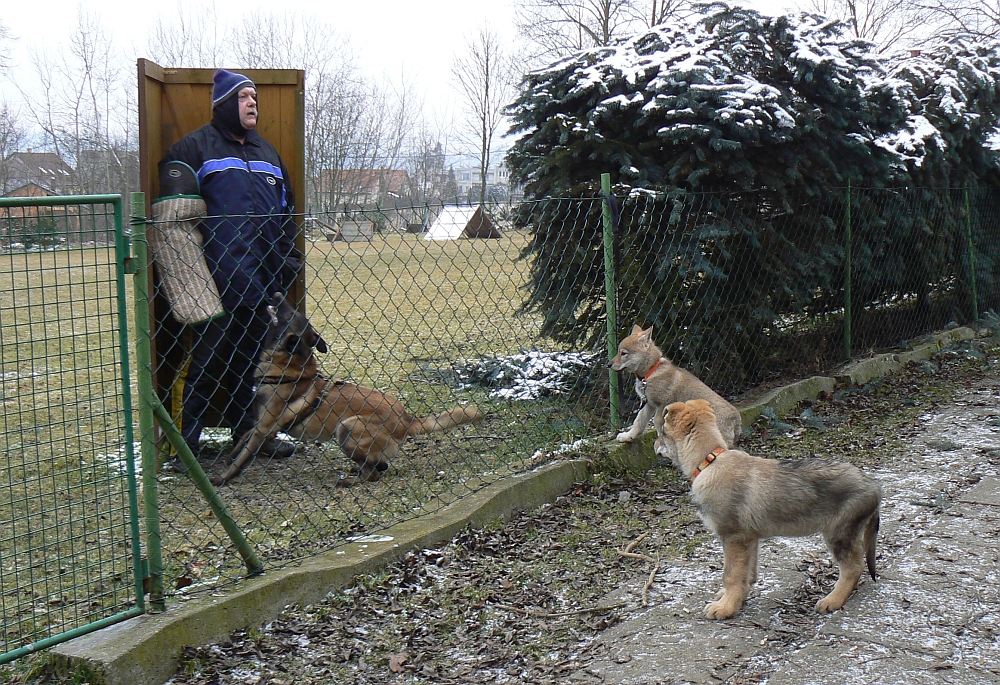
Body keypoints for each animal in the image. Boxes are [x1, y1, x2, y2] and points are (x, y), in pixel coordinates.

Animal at [213, 296, 486, 486]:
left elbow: (243, 456)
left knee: (374, 473)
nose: (278, 293)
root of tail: (405, 419)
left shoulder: (266, 428)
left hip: (346, 428)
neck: (288, 368)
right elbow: (244, 437)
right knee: (378, 466)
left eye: (289, 312)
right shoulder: (262, 426)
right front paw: (228, 456)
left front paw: (222, 478)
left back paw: (351, 480)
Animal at [664, 400, 884, 620]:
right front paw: (736, 598)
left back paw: (833, 600)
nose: (657, 446)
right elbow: (747, 573)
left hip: (838, 533)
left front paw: (725, 607)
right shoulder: (749, 539)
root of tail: (874, 485)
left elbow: (731, 574)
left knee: (853, 568)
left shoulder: (734, 537)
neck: (710, 461)